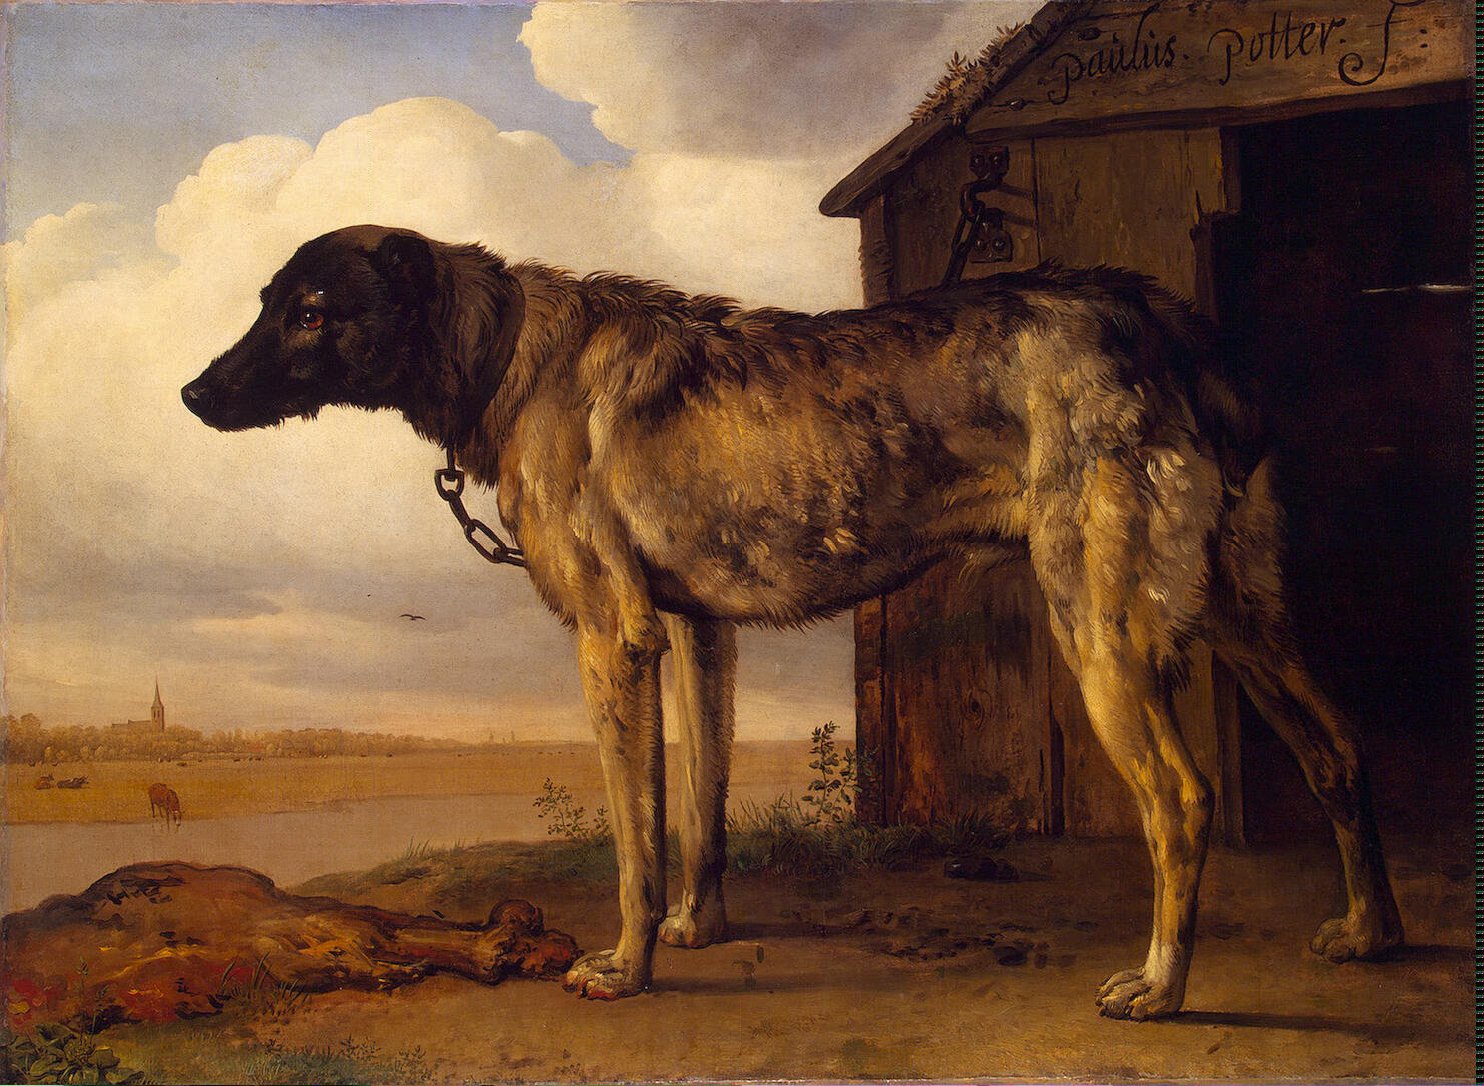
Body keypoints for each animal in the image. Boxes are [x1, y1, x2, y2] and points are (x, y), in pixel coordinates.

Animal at [182, 225, 1402, 1018]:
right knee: (1340, 749)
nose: (193, 395)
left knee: (1182, 799)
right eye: (262, 302)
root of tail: (1158, 314)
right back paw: (1371, 934)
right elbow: (698, 810)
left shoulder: (610, 640)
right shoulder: (691, 639)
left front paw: (627, 967)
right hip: (1240, 610)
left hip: (1101, 627)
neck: (509, 353)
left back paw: (1161, 985)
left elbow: (634, 839)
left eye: (310, 312)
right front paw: (697, 929)